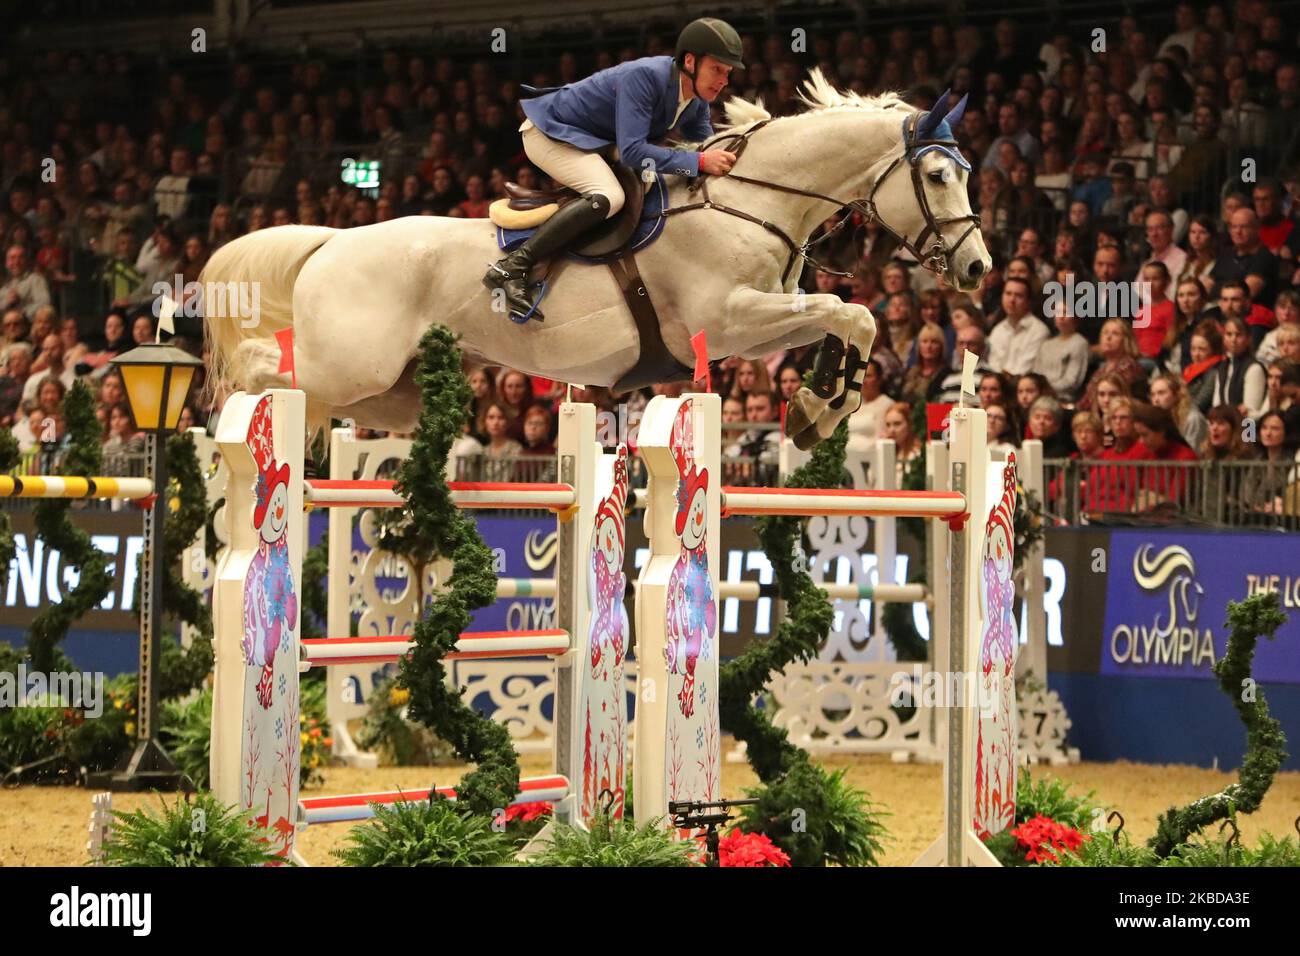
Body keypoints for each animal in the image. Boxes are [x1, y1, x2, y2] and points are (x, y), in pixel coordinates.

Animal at [208, 70, 987, 444]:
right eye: (937, 176)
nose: (978, 268)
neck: (751, 197)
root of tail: (333, 239)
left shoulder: (757, 325)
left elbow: (848, 316)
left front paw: (814, 408)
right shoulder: (727, 319)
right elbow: (846, 311)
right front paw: (819, 406)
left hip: (387, 392)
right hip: (352, 363)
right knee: (263, 364)